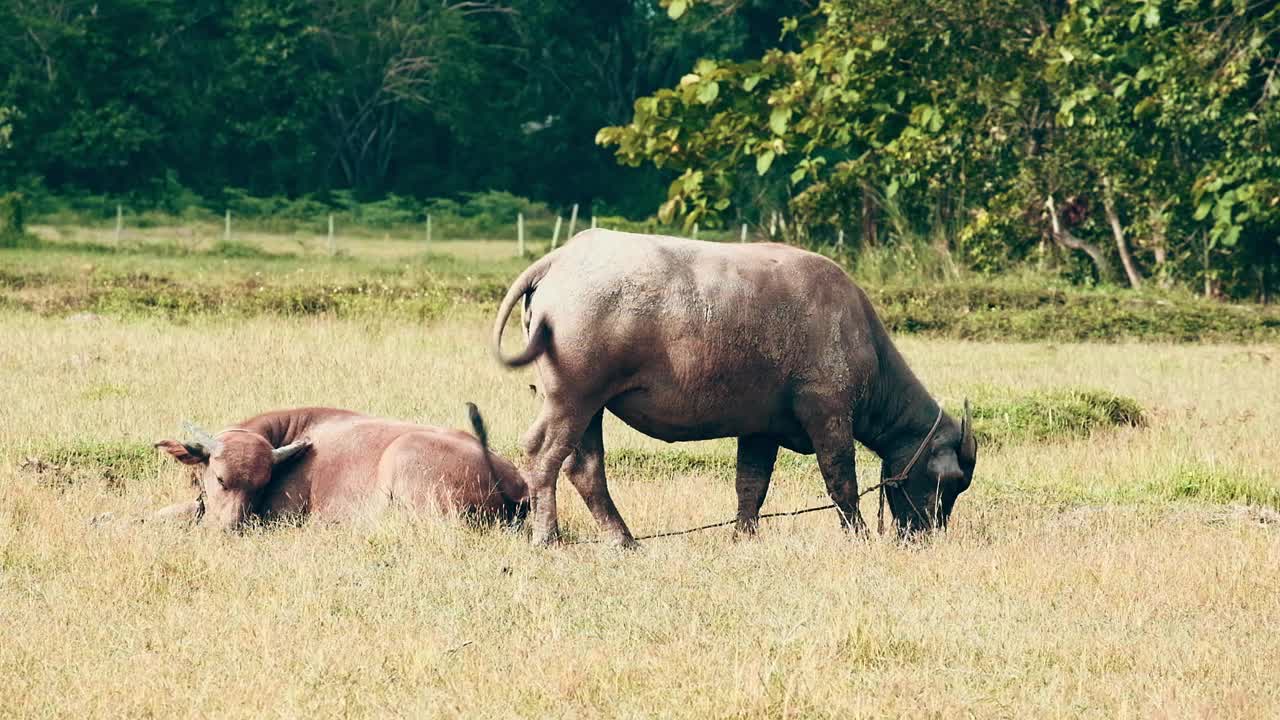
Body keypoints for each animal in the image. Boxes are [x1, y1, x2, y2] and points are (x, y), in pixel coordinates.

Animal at [491, 229, 977, 543]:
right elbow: (841, 480)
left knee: (585, 467)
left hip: (591, 405)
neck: (861, 337)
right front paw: (857, 535)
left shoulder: (759, 429)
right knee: (543, 454)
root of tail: (561, 259)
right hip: (572, 397)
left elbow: (751, 485)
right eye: (948, 481)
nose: (927, 535)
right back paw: (548, 537)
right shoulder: (829, 414)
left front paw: (745, 535)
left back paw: (622, 539)